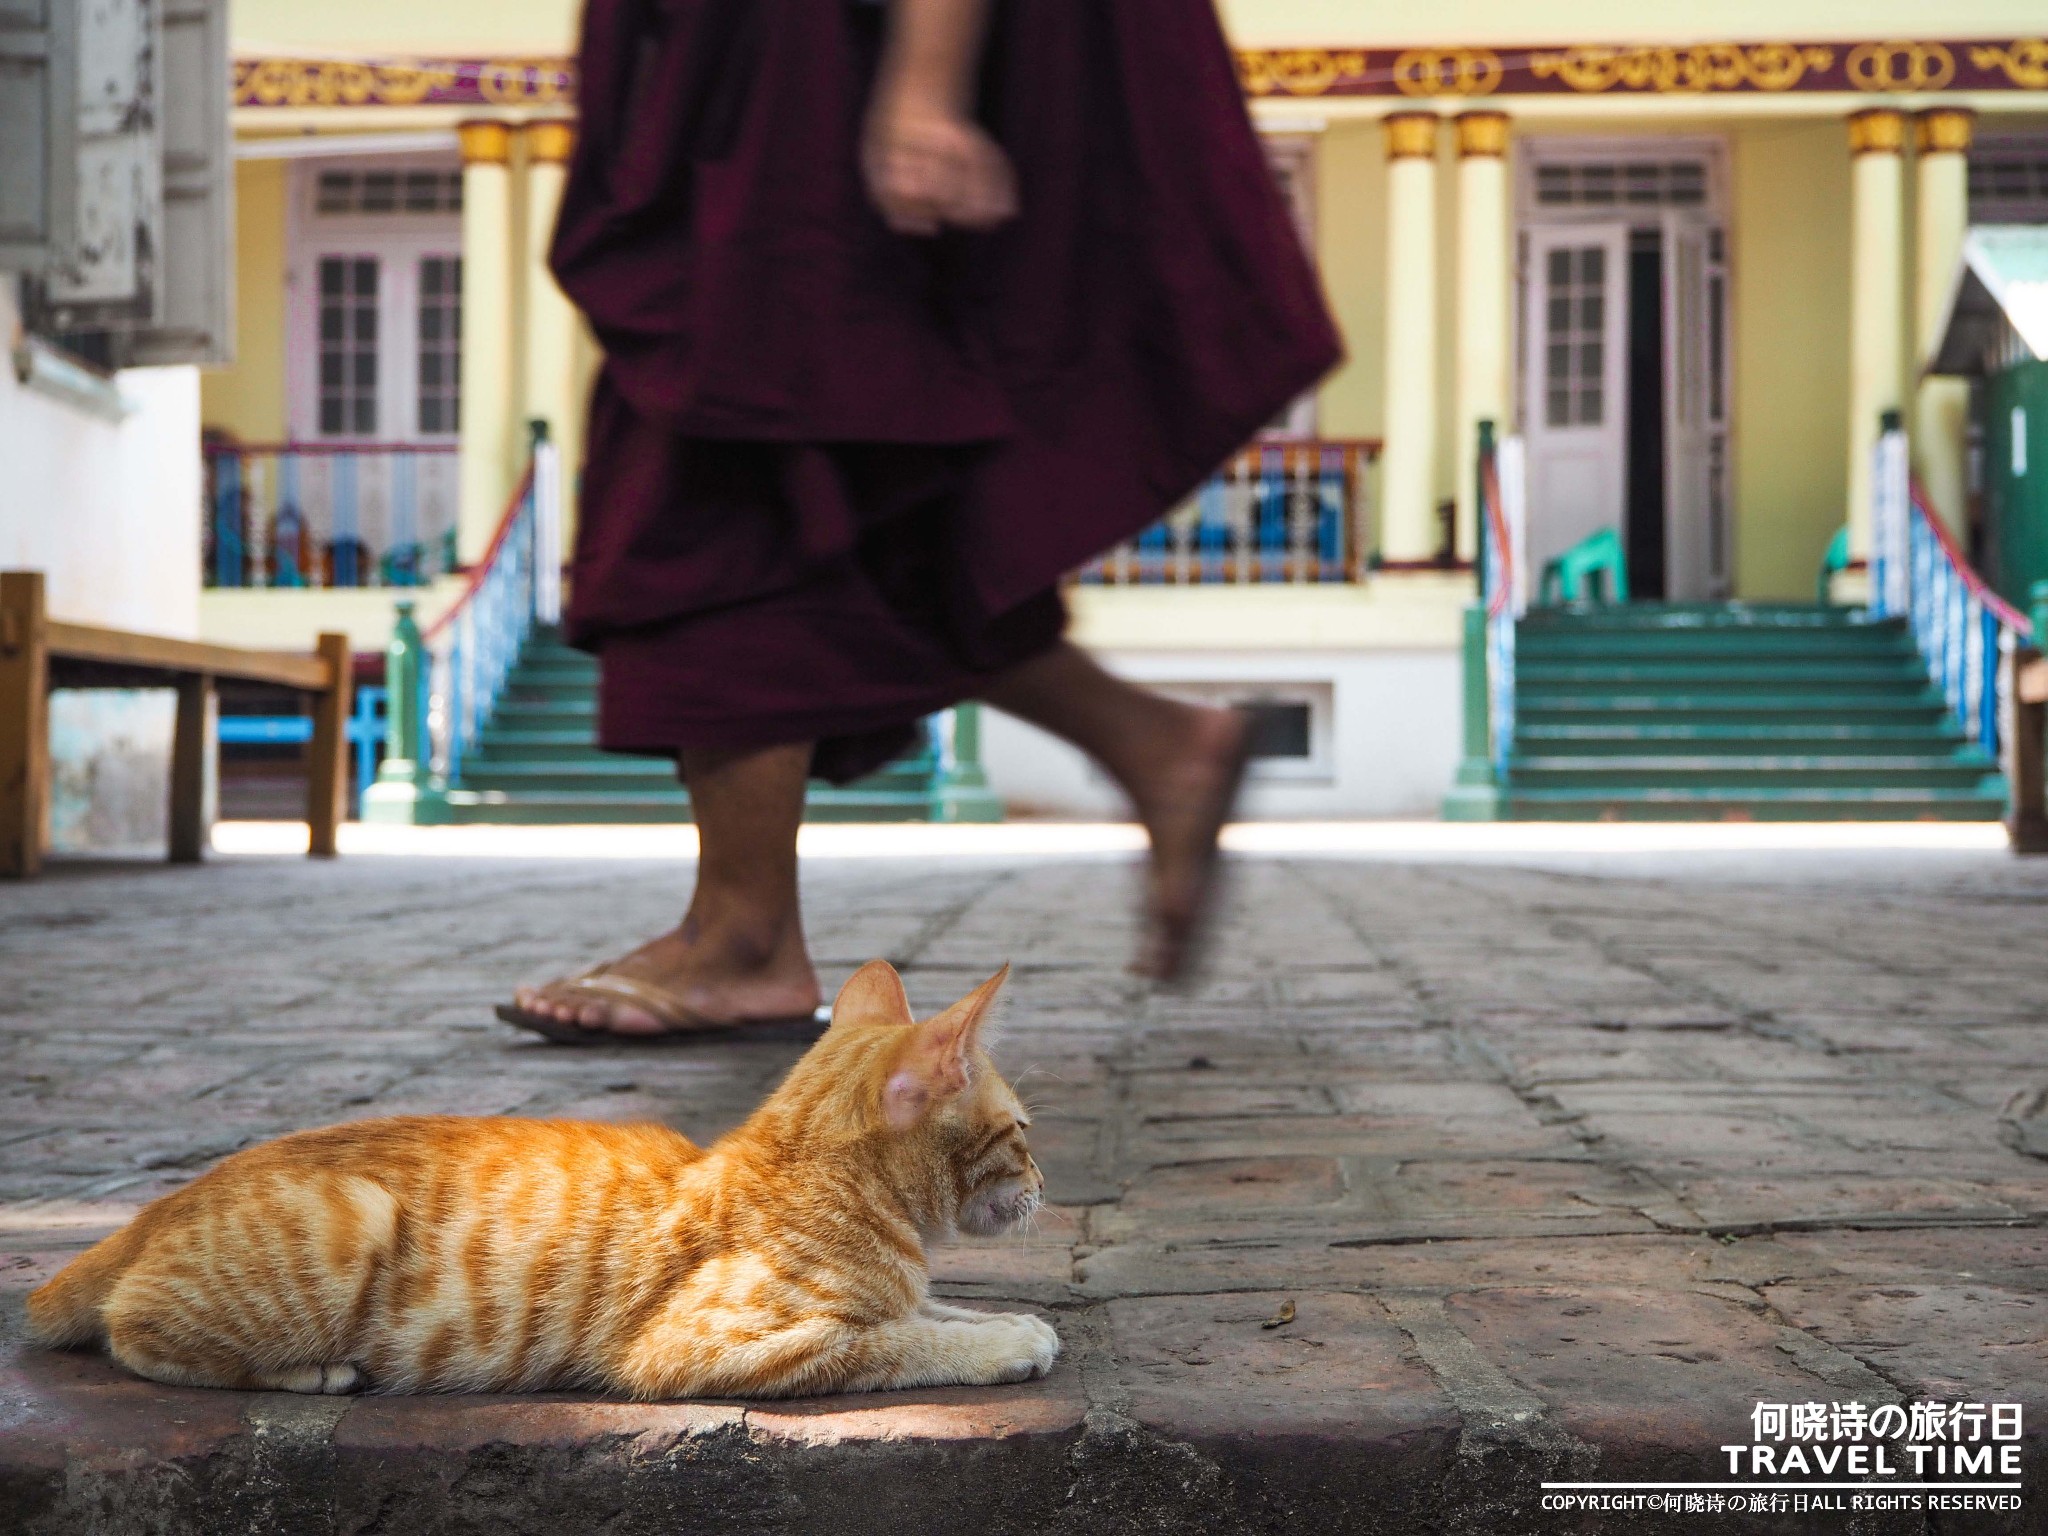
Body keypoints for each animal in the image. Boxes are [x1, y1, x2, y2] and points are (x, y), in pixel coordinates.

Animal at [28, 966, 1056, 1400]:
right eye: (1023, 1131)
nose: (1045, 1181)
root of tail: (165, 1202)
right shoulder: (706, 1348)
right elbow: (899, 1341)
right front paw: (1004, 1343)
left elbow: (927, 1308)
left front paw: (1009, 1317)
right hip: (342, 1227)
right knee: (132, 1332)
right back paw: (305, 1371)